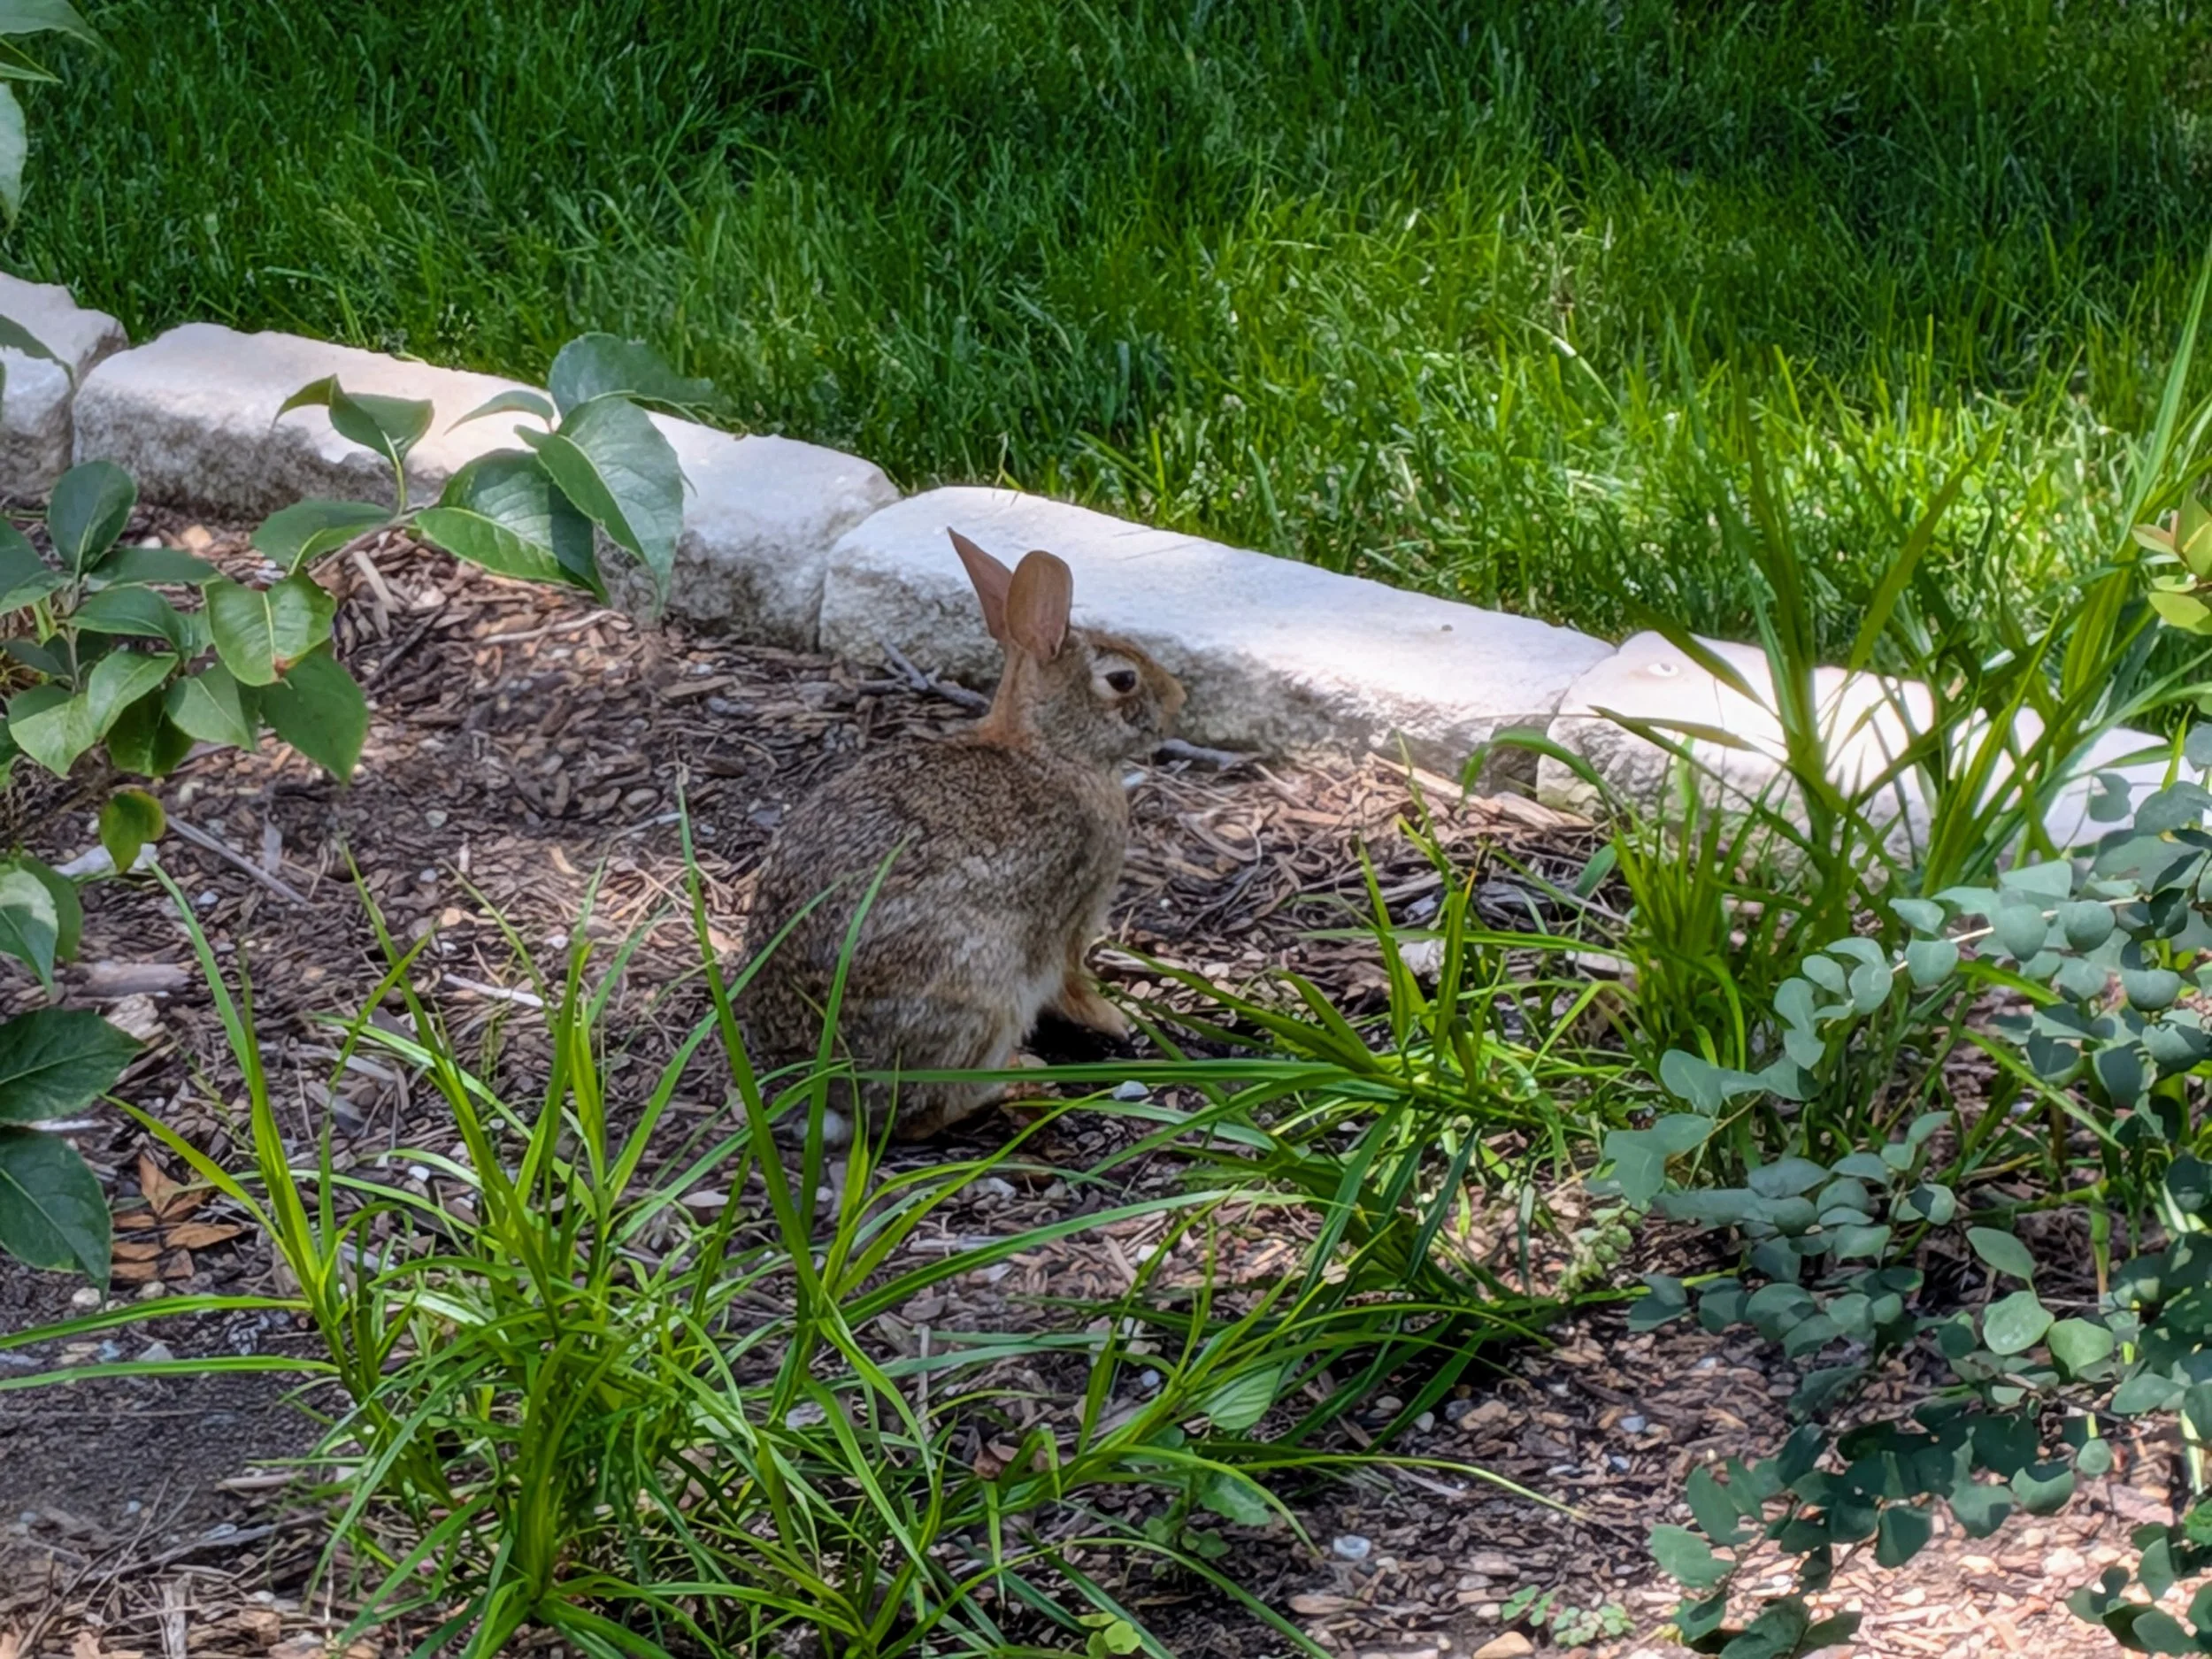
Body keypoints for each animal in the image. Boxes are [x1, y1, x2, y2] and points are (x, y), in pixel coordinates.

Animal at [740, 528, 1186, 1153]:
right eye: (1123, 680)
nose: (1179, 700)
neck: (1050, 749)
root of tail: (833, 1097)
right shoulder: (1073, 913)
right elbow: (1072, 980)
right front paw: (1114, 1021)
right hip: (981, 991)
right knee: (923, 1115)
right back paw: (1017, 1081)